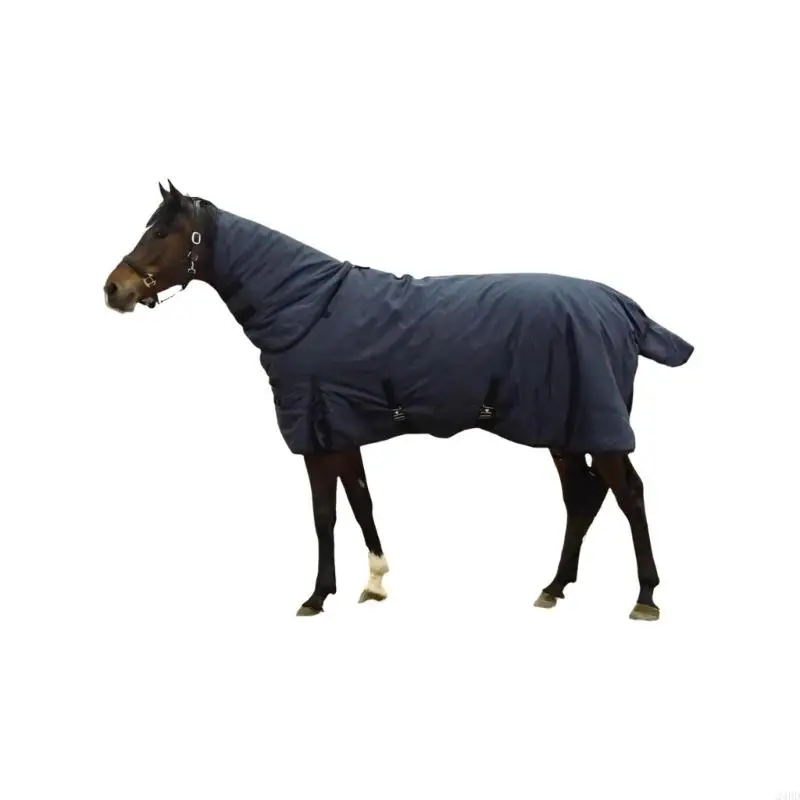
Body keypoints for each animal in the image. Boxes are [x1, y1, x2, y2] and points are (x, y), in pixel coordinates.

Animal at [103, 181, 694, 621]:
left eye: (164, 231)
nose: (113, 290)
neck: (307, 306)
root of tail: (621, 307)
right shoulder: (340, 429)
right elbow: (360, 502)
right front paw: (375, 582)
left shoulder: (316, 436)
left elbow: (324, 515)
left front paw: (317, 596)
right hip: (564, 429)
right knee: (583, 497)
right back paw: (554, 586)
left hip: (595, 428)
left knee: (629, 495)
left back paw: (644, 596)